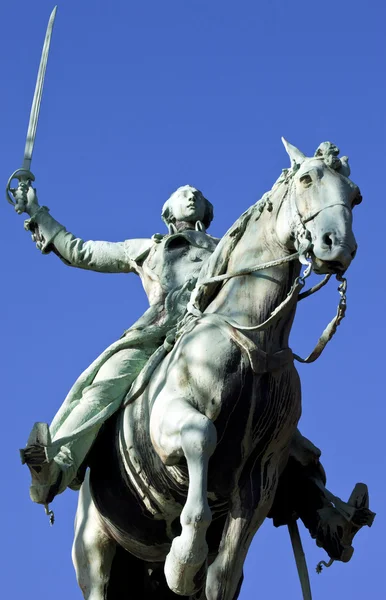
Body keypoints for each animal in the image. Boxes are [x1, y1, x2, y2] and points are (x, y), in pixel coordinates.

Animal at [71, 138, 362, 596]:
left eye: (356, 196)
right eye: (306, 179)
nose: (338, 246)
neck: (254, 336)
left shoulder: (263, 475)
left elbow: (223, 573)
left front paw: (192, 565)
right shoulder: (167, 422)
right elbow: (202, 435)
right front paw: (184, 558)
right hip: (95, 551)